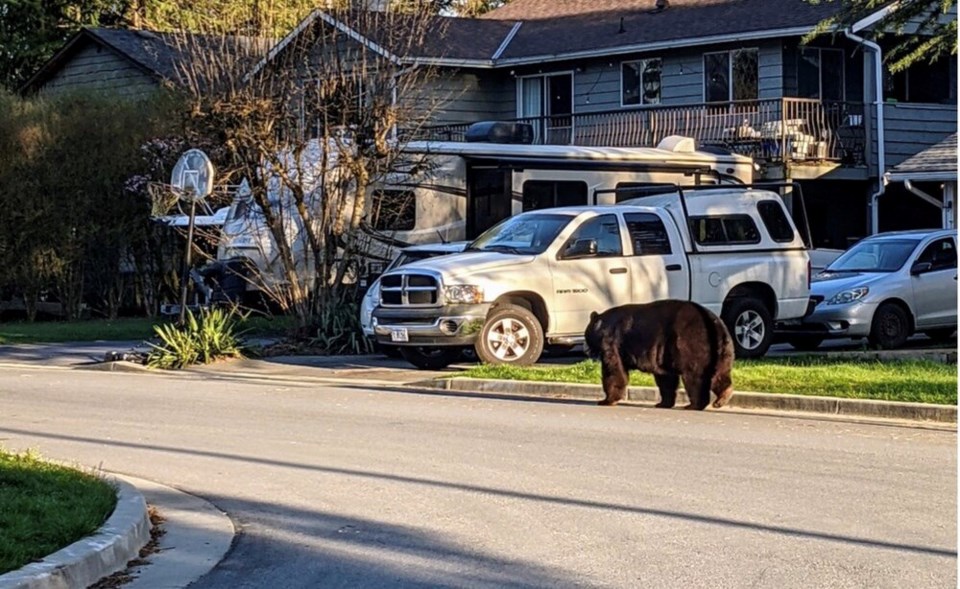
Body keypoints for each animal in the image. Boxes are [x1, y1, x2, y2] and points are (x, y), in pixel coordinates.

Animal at [584, 298, 736, 408]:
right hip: (724, 348)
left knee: (695, 375)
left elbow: (613, 369)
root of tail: (713, 322)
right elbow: (666, 378)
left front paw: (607, 400)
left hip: (692, 343)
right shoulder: (661, 352)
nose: (585, 349)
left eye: (586, 335)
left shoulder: (612, 342)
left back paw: (694, 404)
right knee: (720, 373)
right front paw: (663, 403)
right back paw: (722, 397)